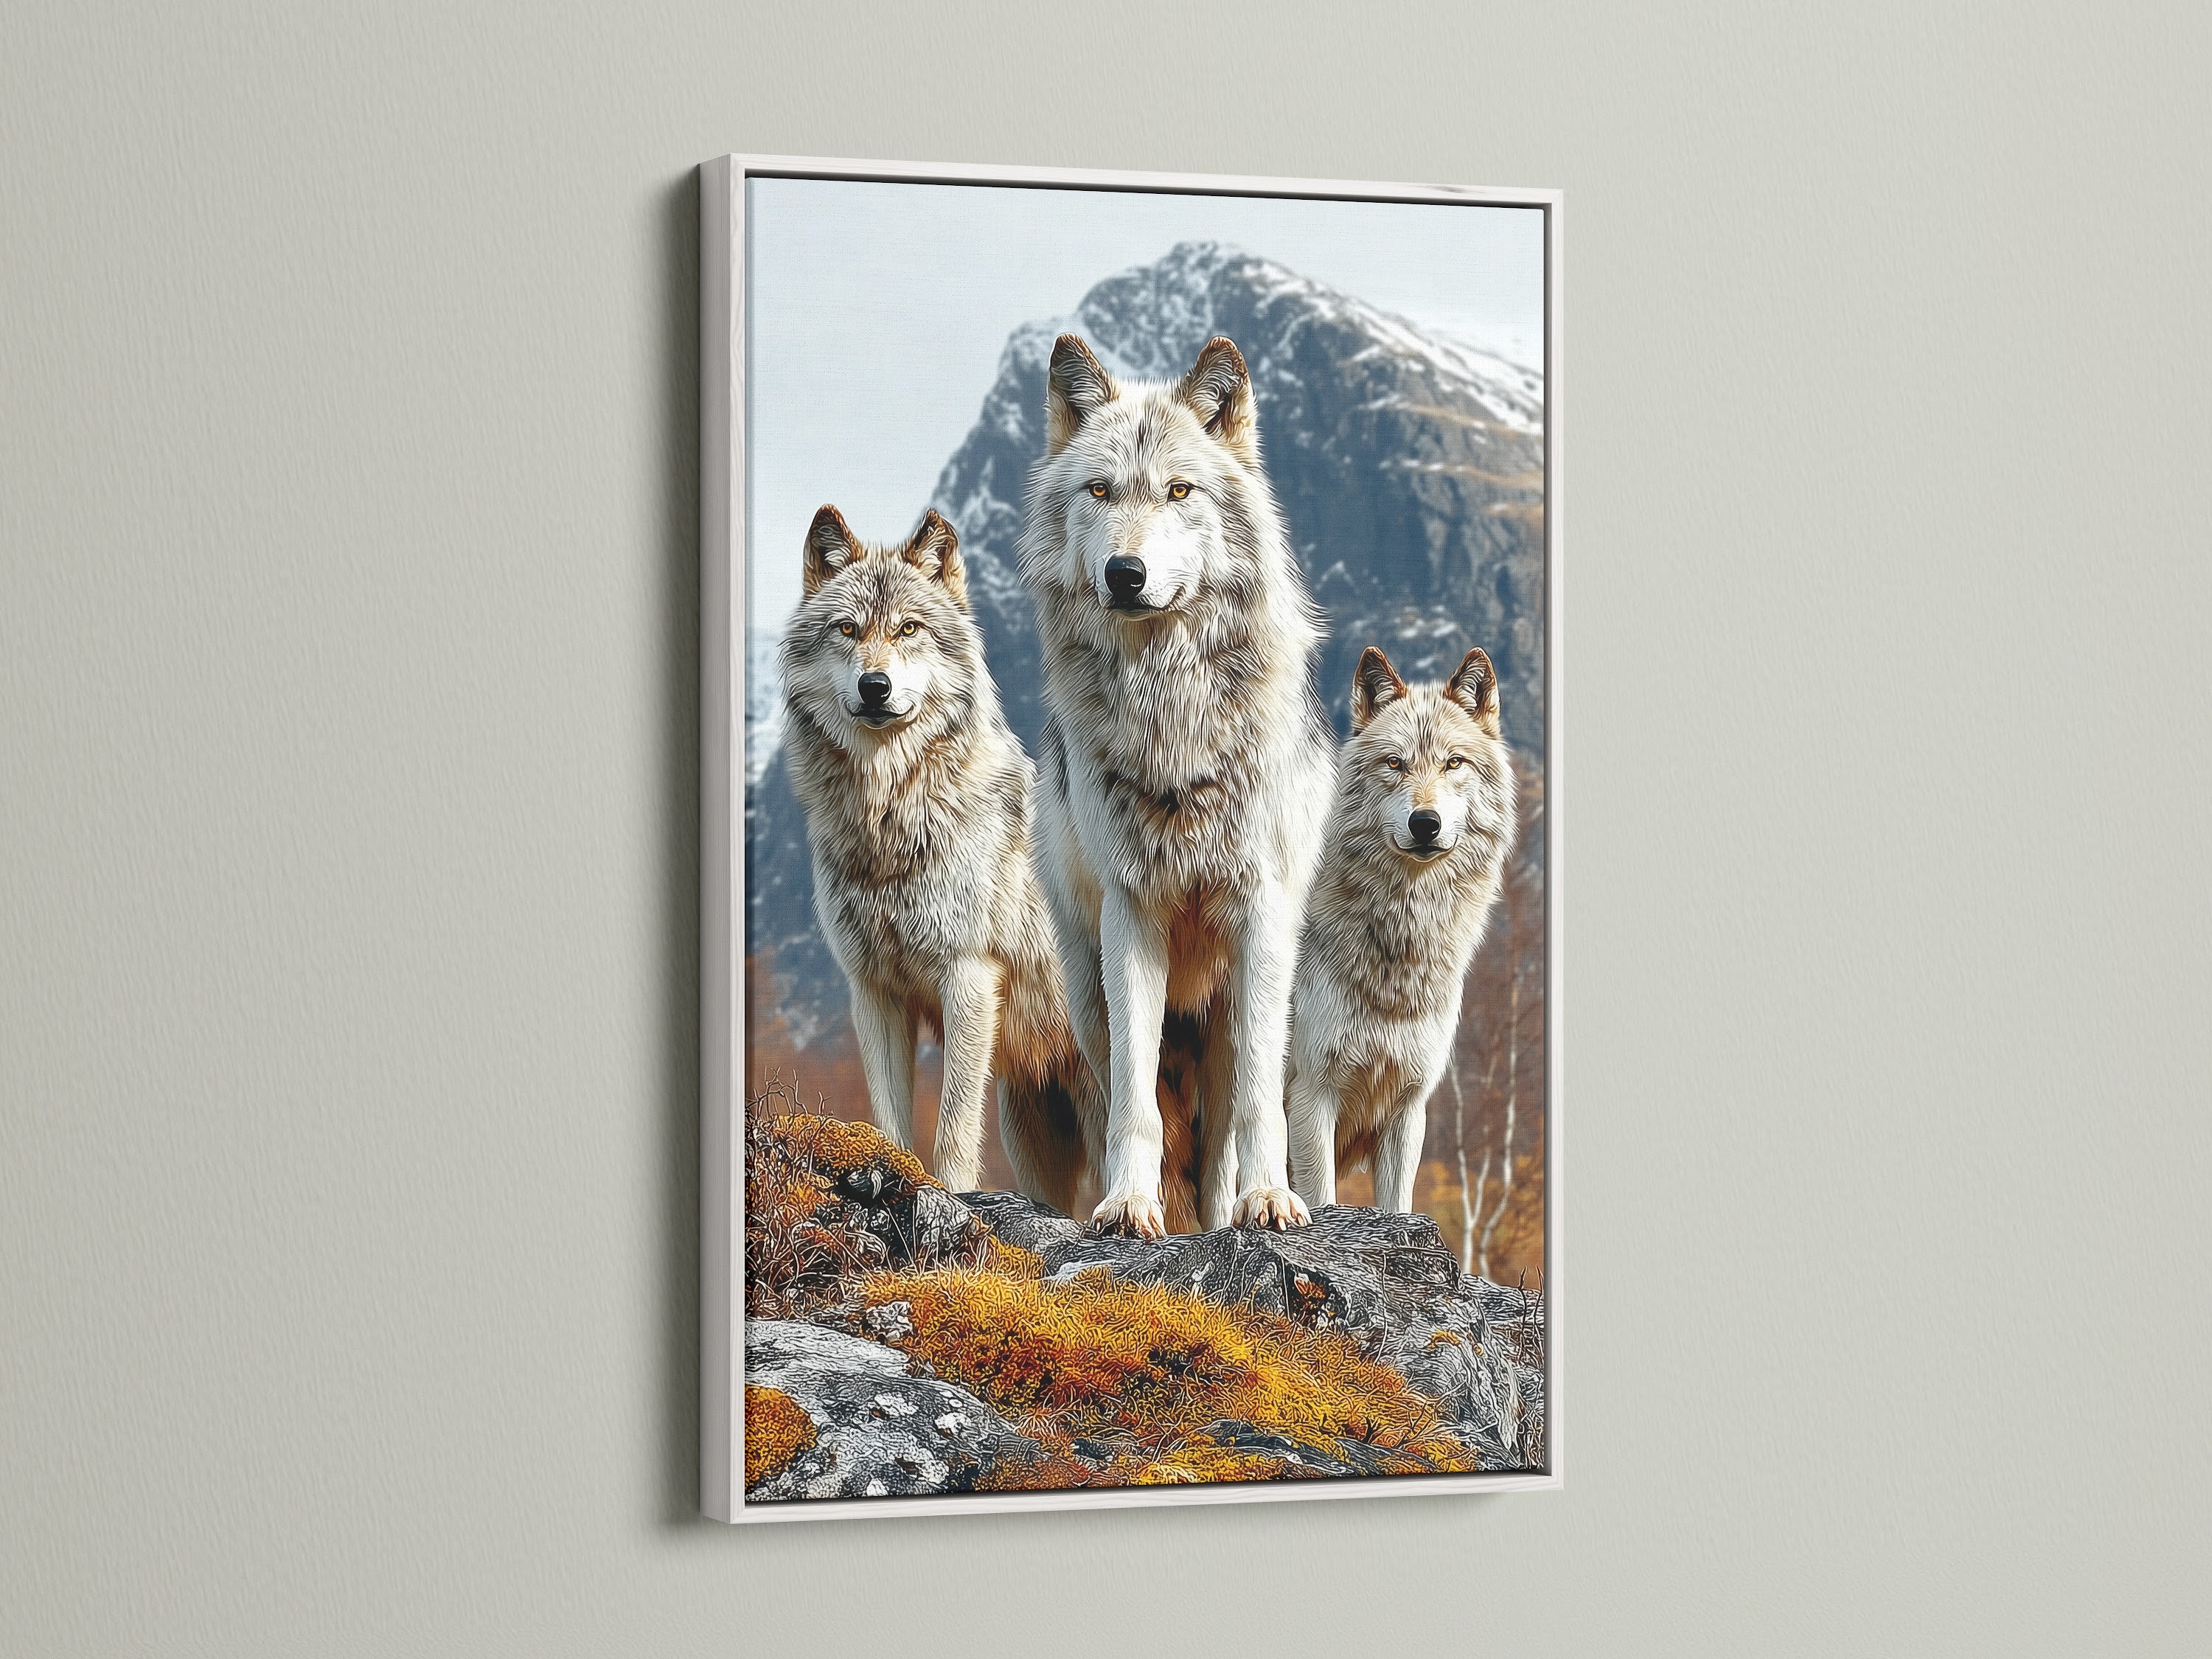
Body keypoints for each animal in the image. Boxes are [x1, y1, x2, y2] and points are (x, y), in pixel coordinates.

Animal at [779, 504, 1091, 1207]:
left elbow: (951, 1122)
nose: (874, 686)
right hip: (1034, 1125)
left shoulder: (968, 976)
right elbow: (890, 1117)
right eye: (848, 629)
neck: (892, 819)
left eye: (909, 628)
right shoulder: (872, 991)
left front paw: (947, 1193)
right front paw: (888, 1173)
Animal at [1020, 333, 1334, 1238]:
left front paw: (1269, 1201)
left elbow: (1258, 1106)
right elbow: (1136, 1107)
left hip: (1238, 1007)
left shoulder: (1260, 912)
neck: (1172, 721)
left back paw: (1236, 1206)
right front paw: (1129, 1206)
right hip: (1087, 995)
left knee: (1227, 1124)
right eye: (1100, 490)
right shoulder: (1133, 915)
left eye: (1179, 491)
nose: (1126, 572)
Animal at [1285, 645, 1516, 1216]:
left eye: (1454, 763)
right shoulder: (1311, 1095)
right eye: (1395, 763)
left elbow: (1397, 1206)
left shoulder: (1409, 1104)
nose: (1425, 823)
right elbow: (1319, 1201)